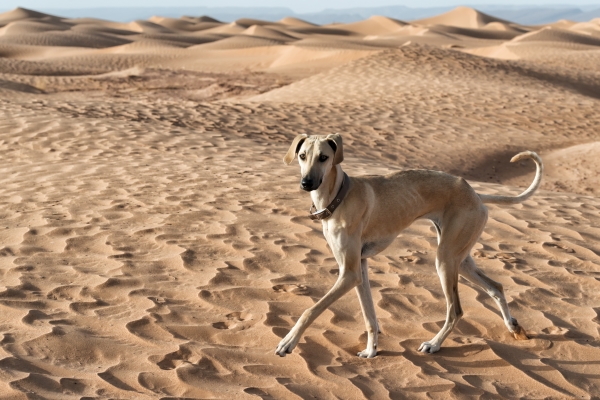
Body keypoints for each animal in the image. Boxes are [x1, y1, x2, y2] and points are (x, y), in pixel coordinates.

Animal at [276, 133, 544, 358]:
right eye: (302, 156)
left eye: (323, 157)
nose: (306, 183)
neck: (339, 196)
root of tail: (475, 194)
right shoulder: (359, 268)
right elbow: (369, 315)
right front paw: (371, 351)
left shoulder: (349, 273)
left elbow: (310, 310)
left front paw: (288, 342)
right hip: (460, 258)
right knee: (496, 287)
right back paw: (513, 327)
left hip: (445, 260)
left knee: (455, 310)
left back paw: (434, 344)